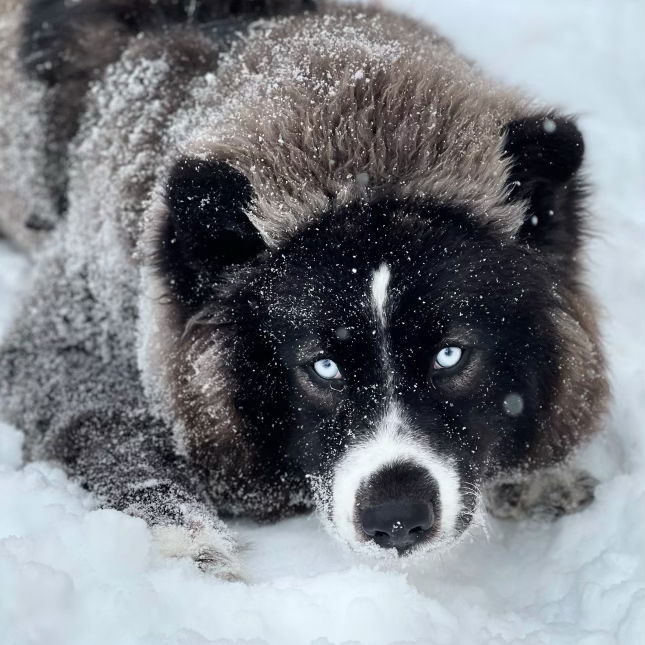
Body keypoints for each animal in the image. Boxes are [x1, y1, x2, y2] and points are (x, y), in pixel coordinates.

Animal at [0, 0, 608, 572]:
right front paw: (189, 542)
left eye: (451, 355)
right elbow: (113, 438)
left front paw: (536, 476)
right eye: (324, 366)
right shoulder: (65, 346)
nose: (396, 519)